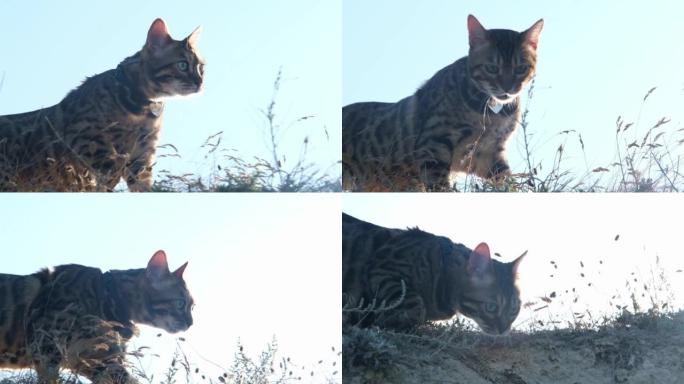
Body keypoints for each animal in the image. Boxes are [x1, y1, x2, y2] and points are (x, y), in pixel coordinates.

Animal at [0, 18, 204, 192]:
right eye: (183, 65)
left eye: (201, 68)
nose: (200, 82)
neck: (141, 108)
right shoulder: (92, 146)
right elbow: (106, 183)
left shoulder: (141, 156)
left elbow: (143, 188)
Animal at [0, 248, 192, 382]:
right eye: (181, 304)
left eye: (193, 306)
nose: (191, 323)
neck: (108, 296)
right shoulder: (46, 348)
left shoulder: (97, 362)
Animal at [344, 15, 544, 192]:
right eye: (492, 68)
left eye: (521, 68)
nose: (508, 88)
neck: (492, 113)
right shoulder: (434, 145)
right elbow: (440, 187)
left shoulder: (488, 153)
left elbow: (506, 181)